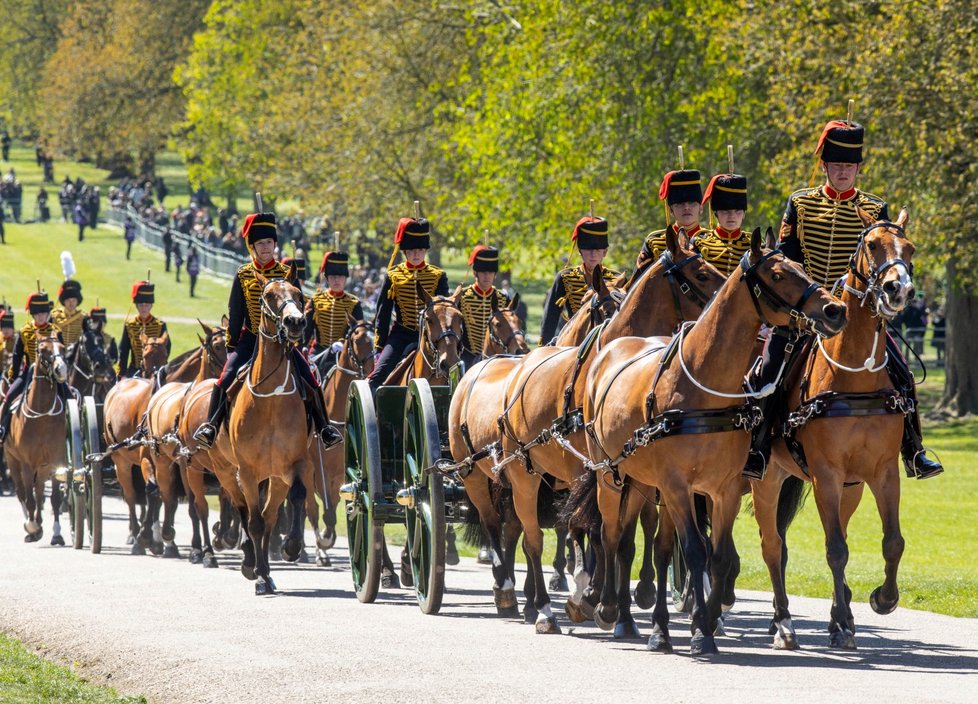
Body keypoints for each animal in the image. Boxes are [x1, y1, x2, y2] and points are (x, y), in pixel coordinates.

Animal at [3, 338, 69, 540]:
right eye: (43, 350)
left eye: (63, 348)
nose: (61, 369)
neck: (42, 416)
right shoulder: (26, 463)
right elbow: (29, 498)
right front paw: (31, 526)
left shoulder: (56, 460)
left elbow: (54, 498)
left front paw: (57, 533)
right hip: (12, 460)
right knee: (22, 493)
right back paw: (30, 524)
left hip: (43, 466)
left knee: (39, 491)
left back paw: (39, 523)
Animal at [103, 332, 173, 552]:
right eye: (146, 354)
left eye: (165, 354)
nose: (159, 373)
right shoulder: (146, 459)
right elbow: (151, 491)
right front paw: (145, 535)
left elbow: (161, 494)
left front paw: (158, 538)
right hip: (120, 459)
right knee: (131, 495)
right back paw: (134, 532)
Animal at [138, 322, 228, 564]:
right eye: (217, 345)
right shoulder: (187, 464)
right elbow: (195, 505)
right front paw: (203, 549)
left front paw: (222, 536)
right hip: (162, 459)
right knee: (165, 495)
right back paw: (163, 536)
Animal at [580, 230, 848, 656]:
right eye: (777, 273)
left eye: (800, 267)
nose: (834, 309)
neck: (703, 385)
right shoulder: (677, 485)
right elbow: (693, 550)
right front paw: (699, 629)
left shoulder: (724, 489)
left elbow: (717, 556)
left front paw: (705, 621)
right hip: (611, 476)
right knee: (609, 533)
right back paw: (609, 608)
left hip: (642, 482)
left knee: (641, 543)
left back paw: (645, 621)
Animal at [752, 208, 920, 648]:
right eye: (873, 245)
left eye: (910, 248)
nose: (898, 290)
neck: (855, 377)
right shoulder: (825, 474)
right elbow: (835, 550)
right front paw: (844, 620)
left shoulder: (882, 472)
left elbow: (892, 542)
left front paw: (881, 599)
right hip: (768, 478)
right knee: (772, 546)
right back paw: (782, 622)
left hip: (851, 486)